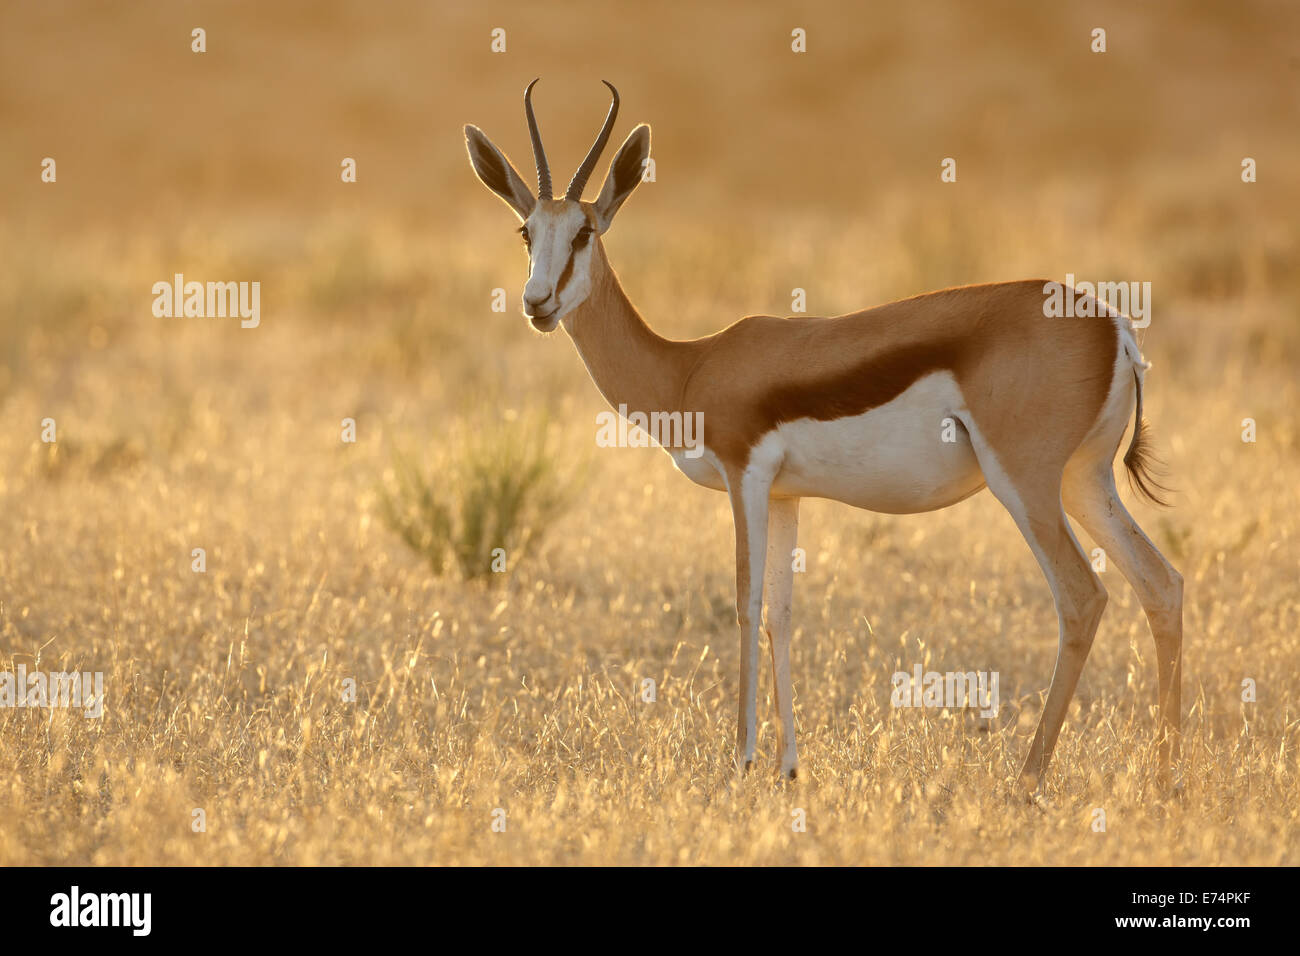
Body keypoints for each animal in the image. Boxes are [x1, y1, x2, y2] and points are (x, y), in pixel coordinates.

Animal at [462, 78, 1185, 790]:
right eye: (526, 230)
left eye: (584, 231)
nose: (537, 303)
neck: (689, 368)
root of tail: (1113, 326)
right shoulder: (787, 497)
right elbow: (782, 614)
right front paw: (787, 766)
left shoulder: (746, 477)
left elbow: (747, 601)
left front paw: (742, 760)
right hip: (1083, 481)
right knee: (1161, 584)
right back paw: (1165, 781)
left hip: (1025, 484)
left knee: (1082, 597)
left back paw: (1029, 780)